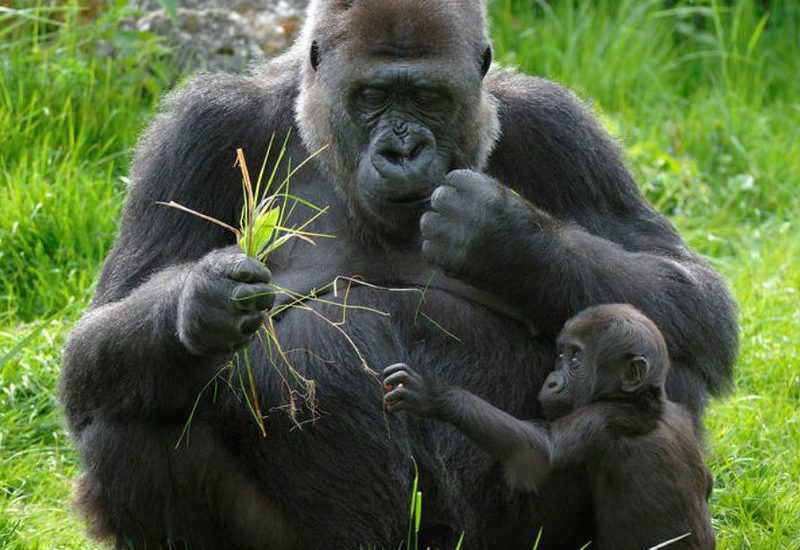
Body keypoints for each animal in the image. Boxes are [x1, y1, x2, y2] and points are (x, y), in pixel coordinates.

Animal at [384, 306, 716, 550]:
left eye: (575, 359)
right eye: (560, 355)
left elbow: (541, 451)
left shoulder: (600, 417)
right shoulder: (678, 411)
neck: (642, 399)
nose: (552, 381)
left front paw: (437, 396)